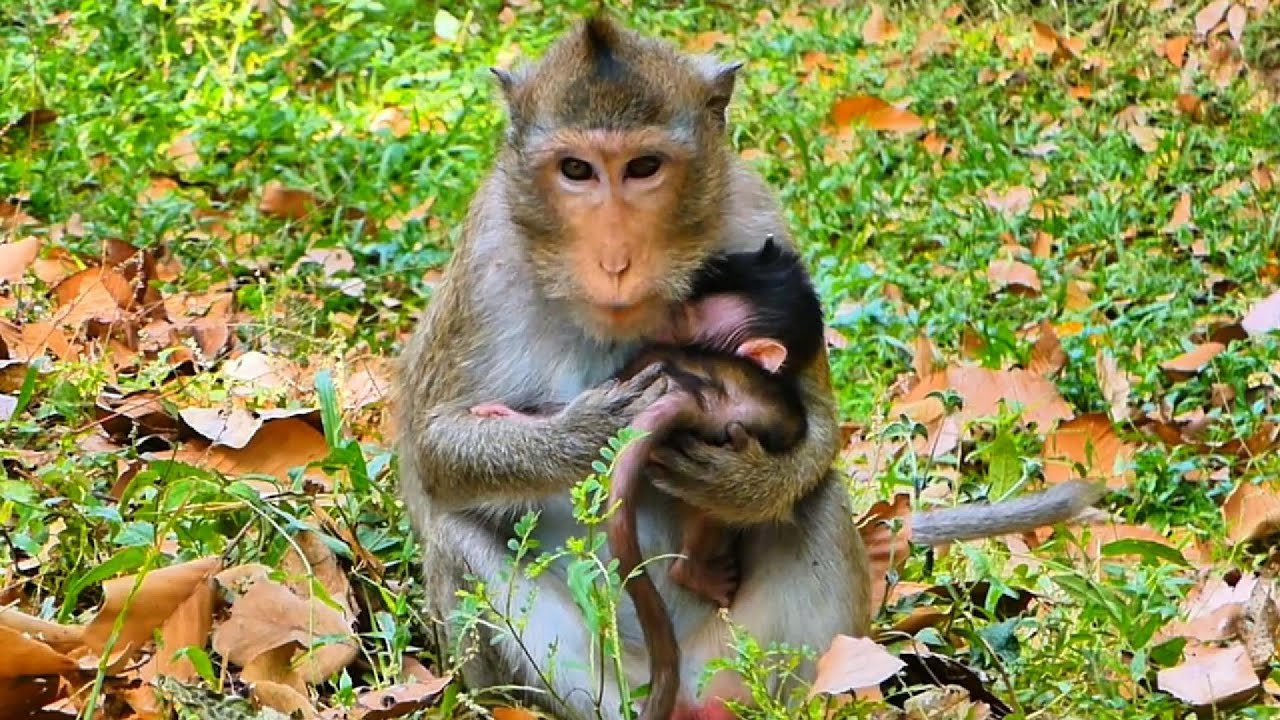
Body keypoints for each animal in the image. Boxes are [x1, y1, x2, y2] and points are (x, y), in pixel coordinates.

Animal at [394, 15, 1104, 720]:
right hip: (596, 687)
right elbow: (432, 450)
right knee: (457, 533)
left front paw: (737, 482)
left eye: (643, 167)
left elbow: (813, 427)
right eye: (577, 170)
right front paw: (584, 435)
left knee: (818, 497)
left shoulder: (754, 213)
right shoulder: (486, 258)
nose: (615, 260)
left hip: (747, 660)